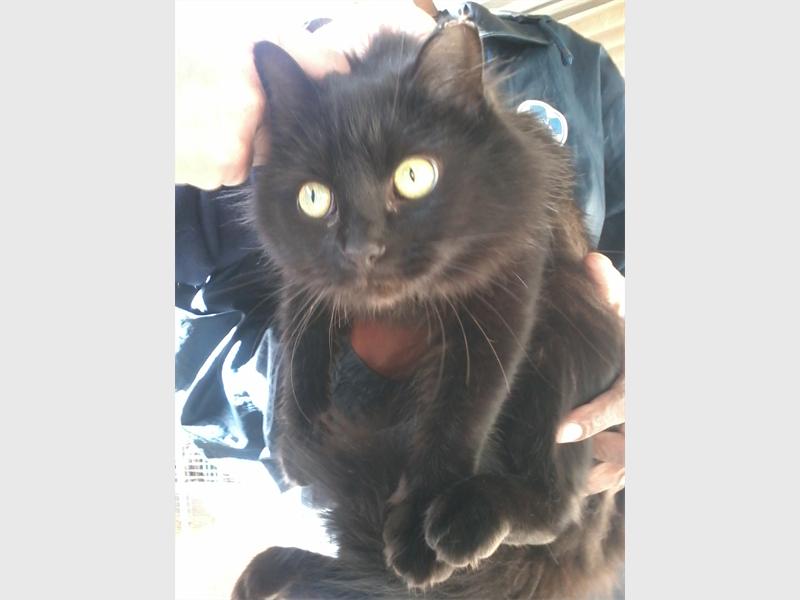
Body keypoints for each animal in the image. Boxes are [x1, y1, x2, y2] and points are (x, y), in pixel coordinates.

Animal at [232, 20, 624, 600]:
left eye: (414, 177)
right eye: (314, 197)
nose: (361, 248)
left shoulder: (503, 288)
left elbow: (459, 411)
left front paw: (418, 534)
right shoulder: (303, 278)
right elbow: (299, 349)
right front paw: (297, 441)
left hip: (571, 314)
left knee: (557, 505)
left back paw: (467, 519)